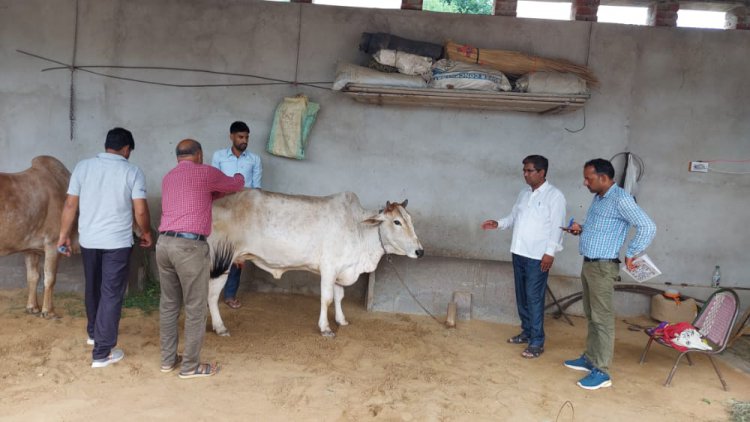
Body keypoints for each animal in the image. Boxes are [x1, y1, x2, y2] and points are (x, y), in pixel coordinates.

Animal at [0, 156, 77, 316]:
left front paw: (32, 307)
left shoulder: (31, 249)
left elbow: (33, 277)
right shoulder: (53, 243)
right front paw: (49, 311)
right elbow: (50, 278)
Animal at [209, 190, 426, 338]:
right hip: (222, 262)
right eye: (397, 222)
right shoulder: (329, 268)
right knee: (211, 296)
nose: (420, 251)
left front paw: (341, 320)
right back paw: (220, 327)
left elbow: (339, 297)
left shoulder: (341, 270)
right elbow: (327, 299)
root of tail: (214, 204)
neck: (359, 229)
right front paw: (326, 328)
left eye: (410, 219)